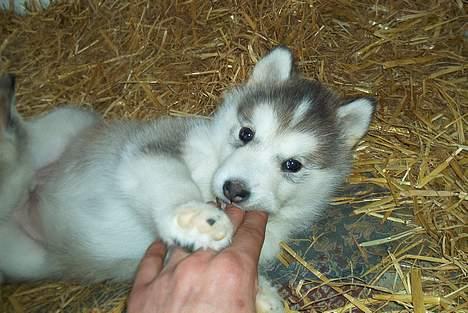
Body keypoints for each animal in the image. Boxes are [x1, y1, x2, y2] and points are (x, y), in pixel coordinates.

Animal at [0, 47, 374, 312]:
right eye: (246, 133)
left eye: (292, 165)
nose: (234, 189)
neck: (209, 168)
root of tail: (28, 196)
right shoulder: (154, 147)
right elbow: (172, 180)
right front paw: (194, 216)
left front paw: (261, 294)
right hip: (69, 123)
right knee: (17, 149)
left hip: (27, 257)